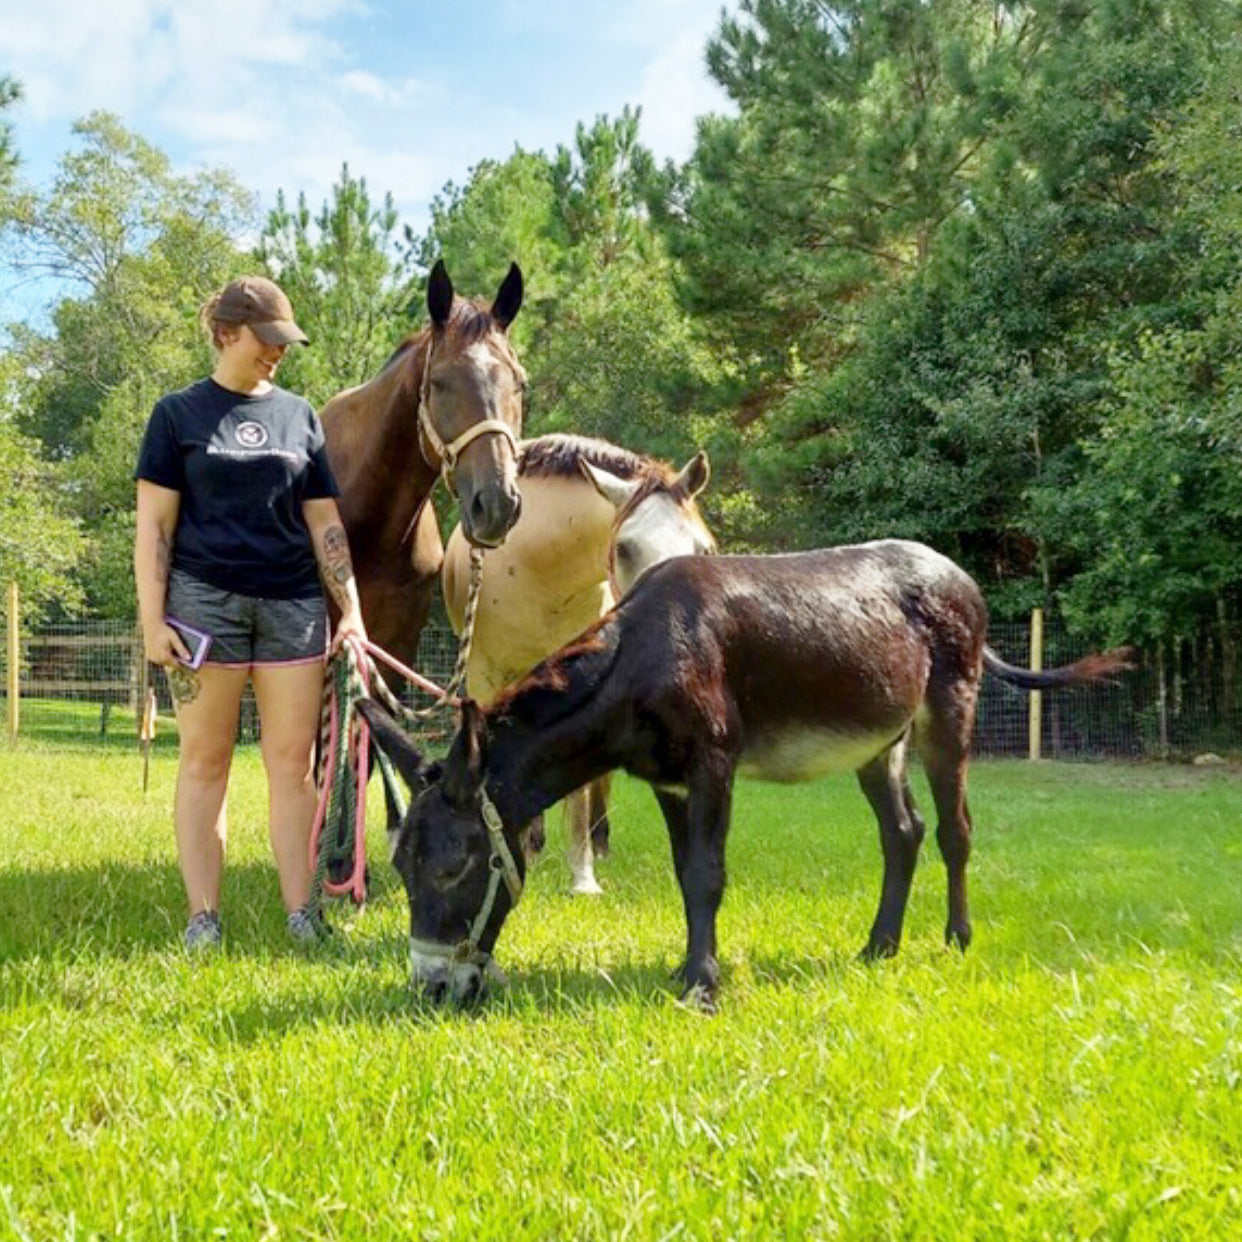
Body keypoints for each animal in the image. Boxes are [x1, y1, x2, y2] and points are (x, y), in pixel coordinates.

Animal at [362, 539, 1137, 1013]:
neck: (641, 657)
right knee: (903, 832)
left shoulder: (713, 765)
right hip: (876, 741)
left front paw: (703, 988)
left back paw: (956, 939)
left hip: (948, 710)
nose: (431, 987)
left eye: (454, 868)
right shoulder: (667, 780)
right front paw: (685, 968)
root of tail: (957, 574)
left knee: (954, 831)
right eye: (400, 866)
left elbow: (708, 874)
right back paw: (878, 947)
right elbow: (685, 875)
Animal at [442, 434, 715, 894]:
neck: (535, 569)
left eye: (704, 548)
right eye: (624, 547)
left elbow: (583, 787)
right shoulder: (484, 678)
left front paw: (582, 876)